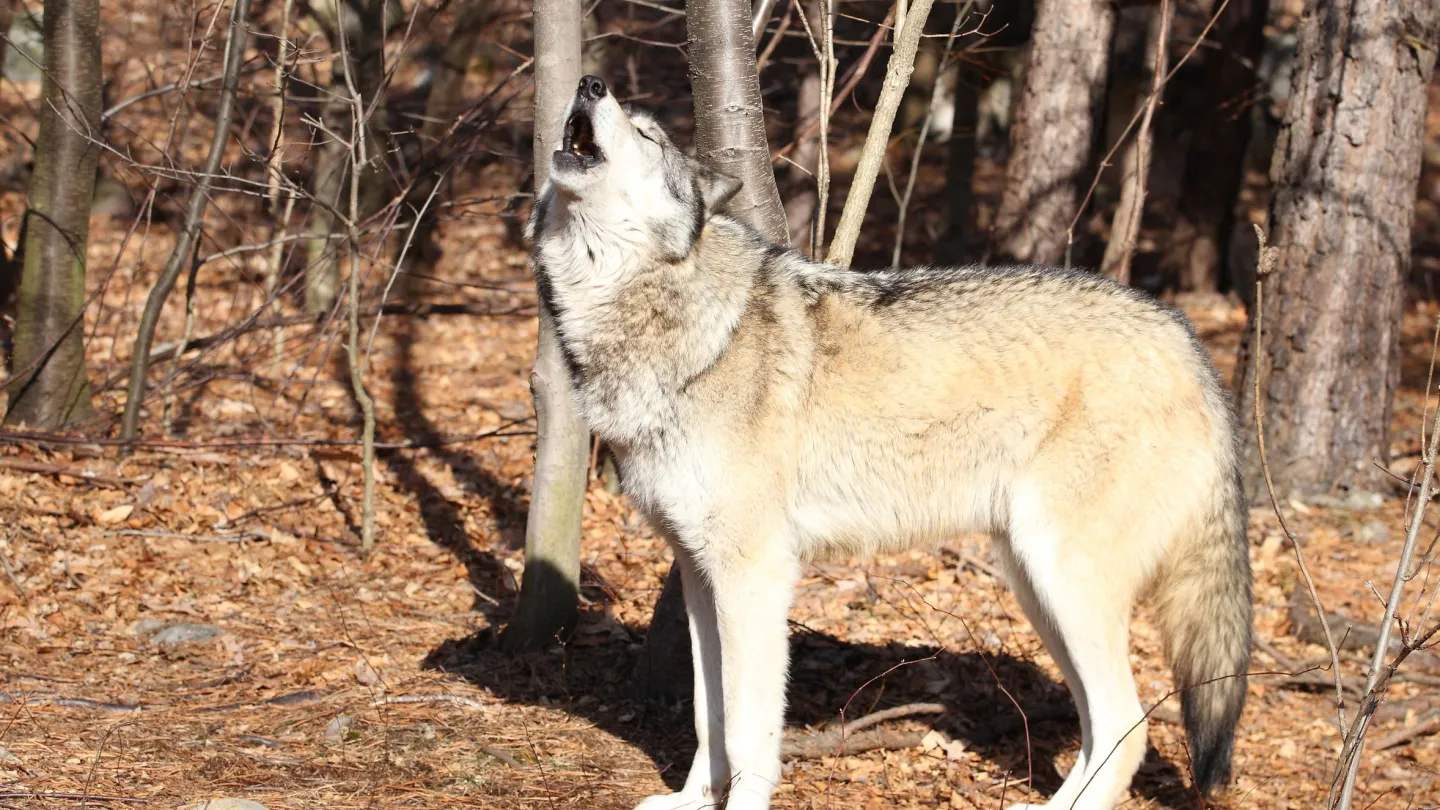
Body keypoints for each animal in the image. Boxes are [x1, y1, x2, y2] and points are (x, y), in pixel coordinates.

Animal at [527, 74, 1252, 810]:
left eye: (646, 133)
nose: (590, 83)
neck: (674, 315)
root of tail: (1187, 340)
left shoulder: (754, 575)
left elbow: (749, 726)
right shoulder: (702, 576)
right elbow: (711, 716)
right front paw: (693, 799)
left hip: (1062, 579)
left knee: (1130, 725)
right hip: (1036, 587)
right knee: (1100, 726)